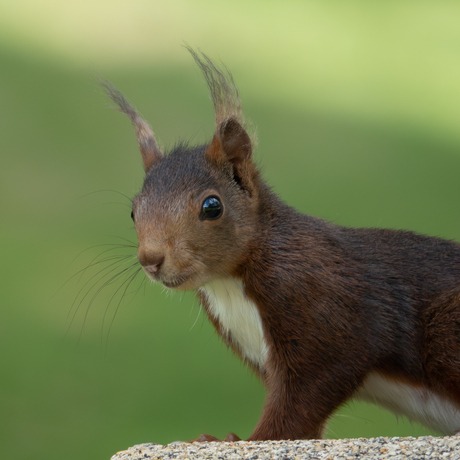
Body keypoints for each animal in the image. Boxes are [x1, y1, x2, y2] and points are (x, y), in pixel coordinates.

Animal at [102, 48, 460, 440]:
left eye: (212, 206)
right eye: (133, 211)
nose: (151, 259)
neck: (230, 283)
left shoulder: (326, 315)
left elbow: (301, 401)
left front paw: (241, 440)